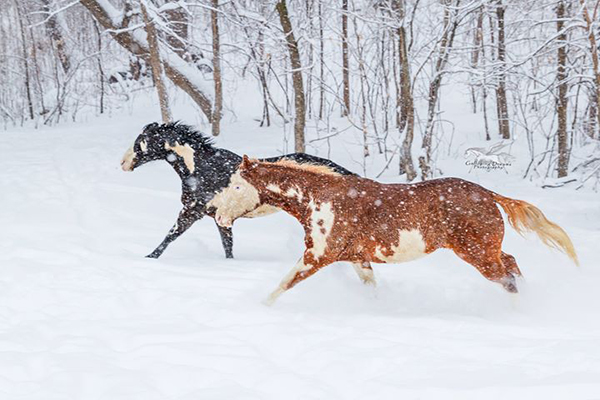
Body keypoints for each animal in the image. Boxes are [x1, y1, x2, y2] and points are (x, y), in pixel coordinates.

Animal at [122, 122, 356, 260]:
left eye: (139, 142)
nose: (123, 163)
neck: (202, 168)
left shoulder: (191, 211)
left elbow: (171, 235)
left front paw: (150, 257)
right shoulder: (220, 217)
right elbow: (228, 246)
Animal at [210, 155, 576, 304]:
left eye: (238, 186)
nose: (214, 211)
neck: (319, 200)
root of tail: (488, 194)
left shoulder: (318, 256)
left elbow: (281, 286)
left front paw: (257, 308)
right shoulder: (357, 258)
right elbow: (372, 288)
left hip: (478, 255)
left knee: (508, 279)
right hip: (487, 251)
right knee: (512, 264)